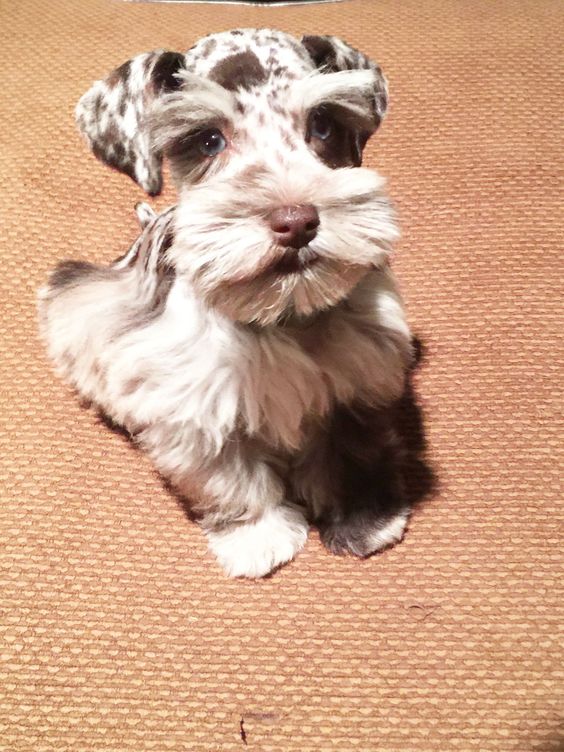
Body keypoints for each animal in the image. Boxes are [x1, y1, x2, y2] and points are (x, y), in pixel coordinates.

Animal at [37, 30, 412, 576]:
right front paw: (257, 536)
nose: (296, 220)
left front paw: (364, 519)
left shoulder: (360, 375)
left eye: (322, 124)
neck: (280, 317)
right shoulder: (195, 413)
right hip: (77, 302)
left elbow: (353, 449)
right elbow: (229, 479)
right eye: (208, 139)